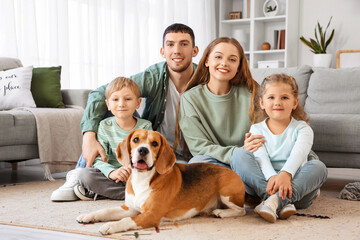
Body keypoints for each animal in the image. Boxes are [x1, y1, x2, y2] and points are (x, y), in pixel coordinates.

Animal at [77, 129, 246, 234]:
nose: (143, 150)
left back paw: (221, 212)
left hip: (226, 192)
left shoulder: (151, 215)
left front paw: (110, 225)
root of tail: (233, 172)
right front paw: (88, 216)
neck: (143, 179)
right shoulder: (130, 208)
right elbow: (105, 211)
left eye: (155, 144)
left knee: (241, 210)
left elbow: (126, 220)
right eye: (136, 140)